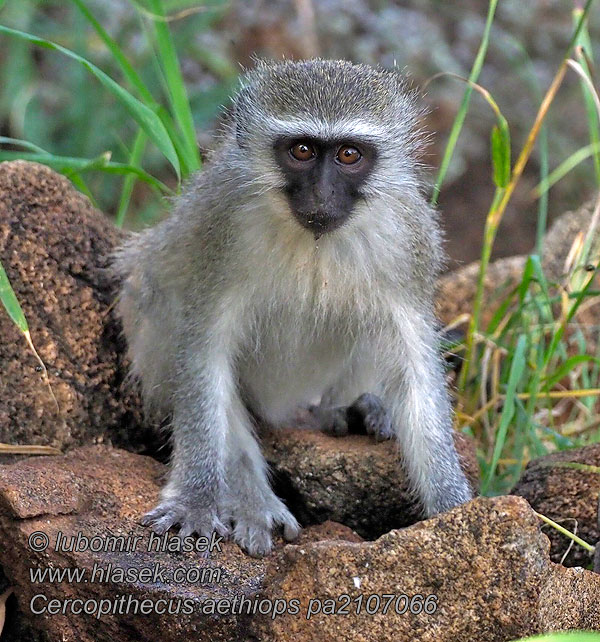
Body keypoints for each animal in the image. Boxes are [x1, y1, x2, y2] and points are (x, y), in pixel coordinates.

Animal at [115, 57, 474, 552]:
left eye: (348, 155)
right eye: (302, 150)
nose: (321, 195)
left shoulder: (409, 237)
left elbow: (416, 369)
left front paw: (455, 508)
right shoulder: (220, 224)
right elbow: (205, 353)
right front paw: (196, 498)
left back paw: (355, 407)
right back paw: (251, 499)